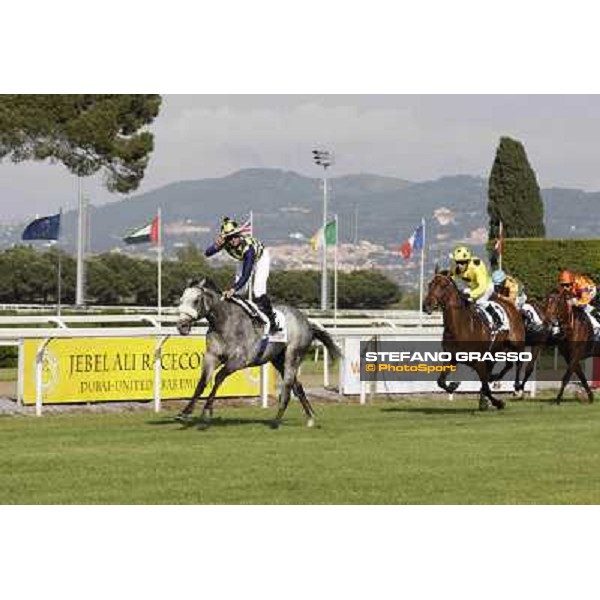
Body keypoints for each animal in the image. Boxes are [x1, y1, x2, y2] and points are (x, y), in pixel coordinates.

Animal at [175, 280, 342, 426]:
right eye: (181, 300)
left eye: (196, 300)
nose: (181, 326)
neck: (225, 322)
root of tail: (307, 321)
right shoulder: (212, 357)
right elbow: (202, 382)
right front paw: (185, 411)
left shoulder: (239, 360)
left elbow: (218, 378)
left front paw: (207, 411)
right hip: (278, 360)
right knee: (297, 385)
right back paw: (310, 417)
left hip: (293, 355)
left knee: (288, 386)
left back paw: (276, 421)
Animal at [422, 270, 524, 408]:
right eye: (430, 284)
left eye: (443, 285)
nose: (426, 305)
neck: (459, 327)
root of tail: (510, 304)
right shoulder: (452, 357)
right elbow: (441, 381)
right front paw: (453, 385)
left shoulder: (478, 361)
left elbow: (485, 386)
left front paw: (498, 402)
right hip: (495, 350)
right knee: (506, 365)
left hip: (516, 344)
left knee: (518, 363)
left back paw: (517, 387)